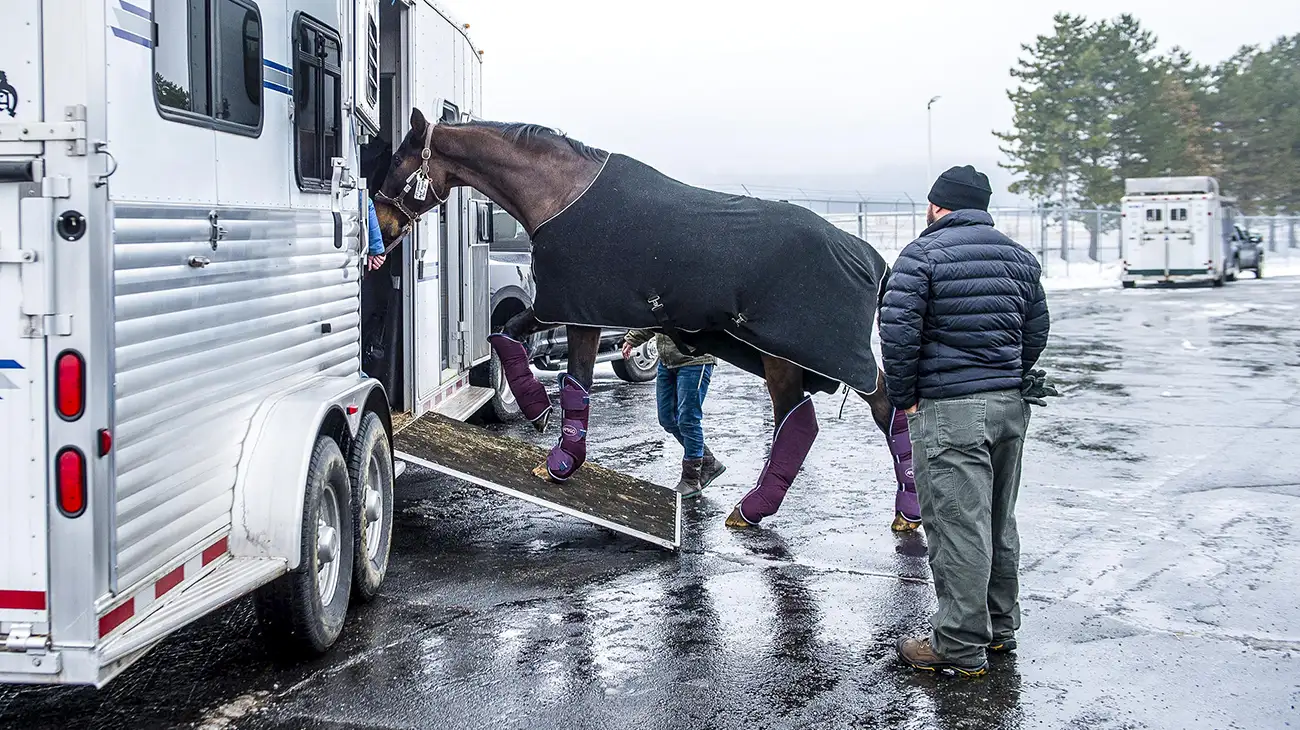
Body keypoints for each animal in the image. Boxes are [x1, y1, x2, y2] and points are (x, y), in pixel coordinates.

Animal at [370, 108, 921, 531]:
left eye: (397, 159)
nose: (381, 223)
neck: (560, 195)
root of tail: (872, 259)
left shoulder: (579, 315)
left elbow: (574, 381)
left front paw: (563, 463)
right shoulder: (559, 308)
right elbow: (506, 336)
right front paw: (537, 410)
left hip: (789, 356)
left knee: (818, 420)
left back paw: (759, 508)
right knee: (860, 411)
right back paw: (899, 511)